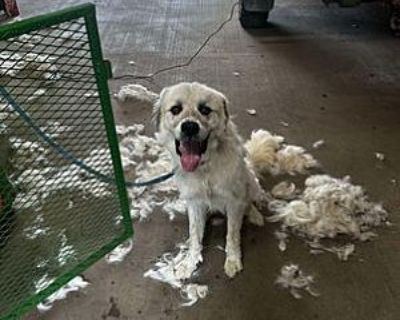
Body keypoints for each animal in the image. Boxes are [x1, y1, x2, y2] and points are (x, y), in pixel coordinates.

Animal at [153, 82, 268, 278]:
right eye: (176, 109)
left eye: (205, 110)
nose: (189, 127)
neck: (204, 168)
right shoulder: (194, 202)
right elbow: (194, 234)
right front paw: (189, 262)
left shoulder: (234, 202)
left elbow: (232, 235)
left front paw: (232, 260)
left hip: (251, 183)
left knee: (249, 200)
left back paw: (254, 214)